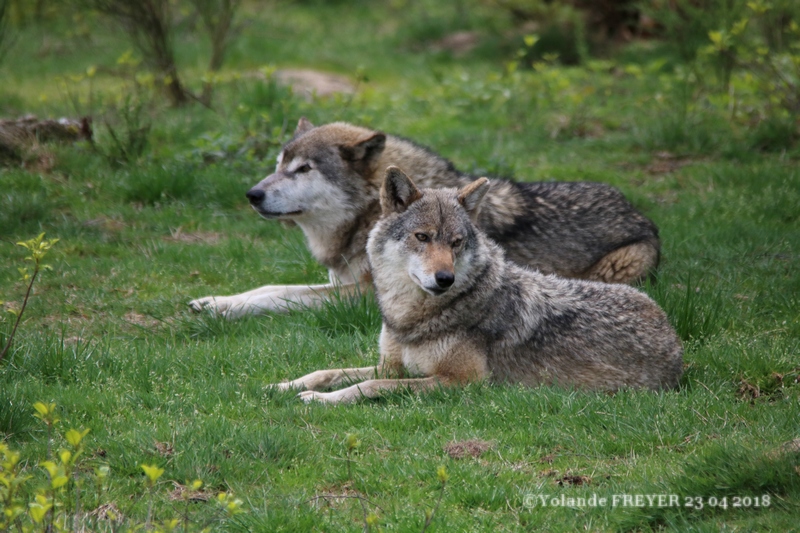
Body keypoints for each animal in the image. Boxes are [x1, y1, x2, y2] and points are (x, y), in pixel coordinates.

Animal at [189, 118, 664, 318]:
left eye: (303, 169)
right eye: (277, 164)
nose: (252, 195)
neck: (366, 217)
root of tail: (640, 213)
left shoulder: (362, 295)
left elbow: (282, 297)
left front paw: (222, 310)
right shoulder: (340, 283)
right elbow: (269, 288)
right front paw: (212, 301)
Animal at [274, 166, 680, 404]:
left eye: (456, 242)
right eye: (422, 237)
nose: (445, 278)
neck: (411, 319)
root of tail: (670, 330)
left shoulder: (462, 381)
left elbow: (371, 387)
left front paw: (320, 400)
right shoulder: (391, 366)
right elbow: (328, 371)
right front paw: (285, 386)